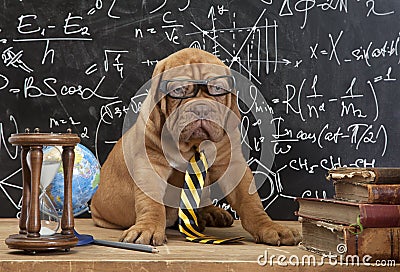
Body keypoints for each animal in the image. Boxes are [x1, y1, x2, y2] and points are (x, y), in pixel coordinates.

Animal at [90, 47, 302, 245]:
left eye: (216, 88)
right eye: (178, 90)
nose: (201, 108)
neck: (193, 146)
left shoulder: (232, 165)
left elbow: (251, 202)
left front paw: (270, 227)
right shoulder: (150, 165)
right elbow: (150, 202)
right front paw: (147, 228)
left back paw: (211, 214)